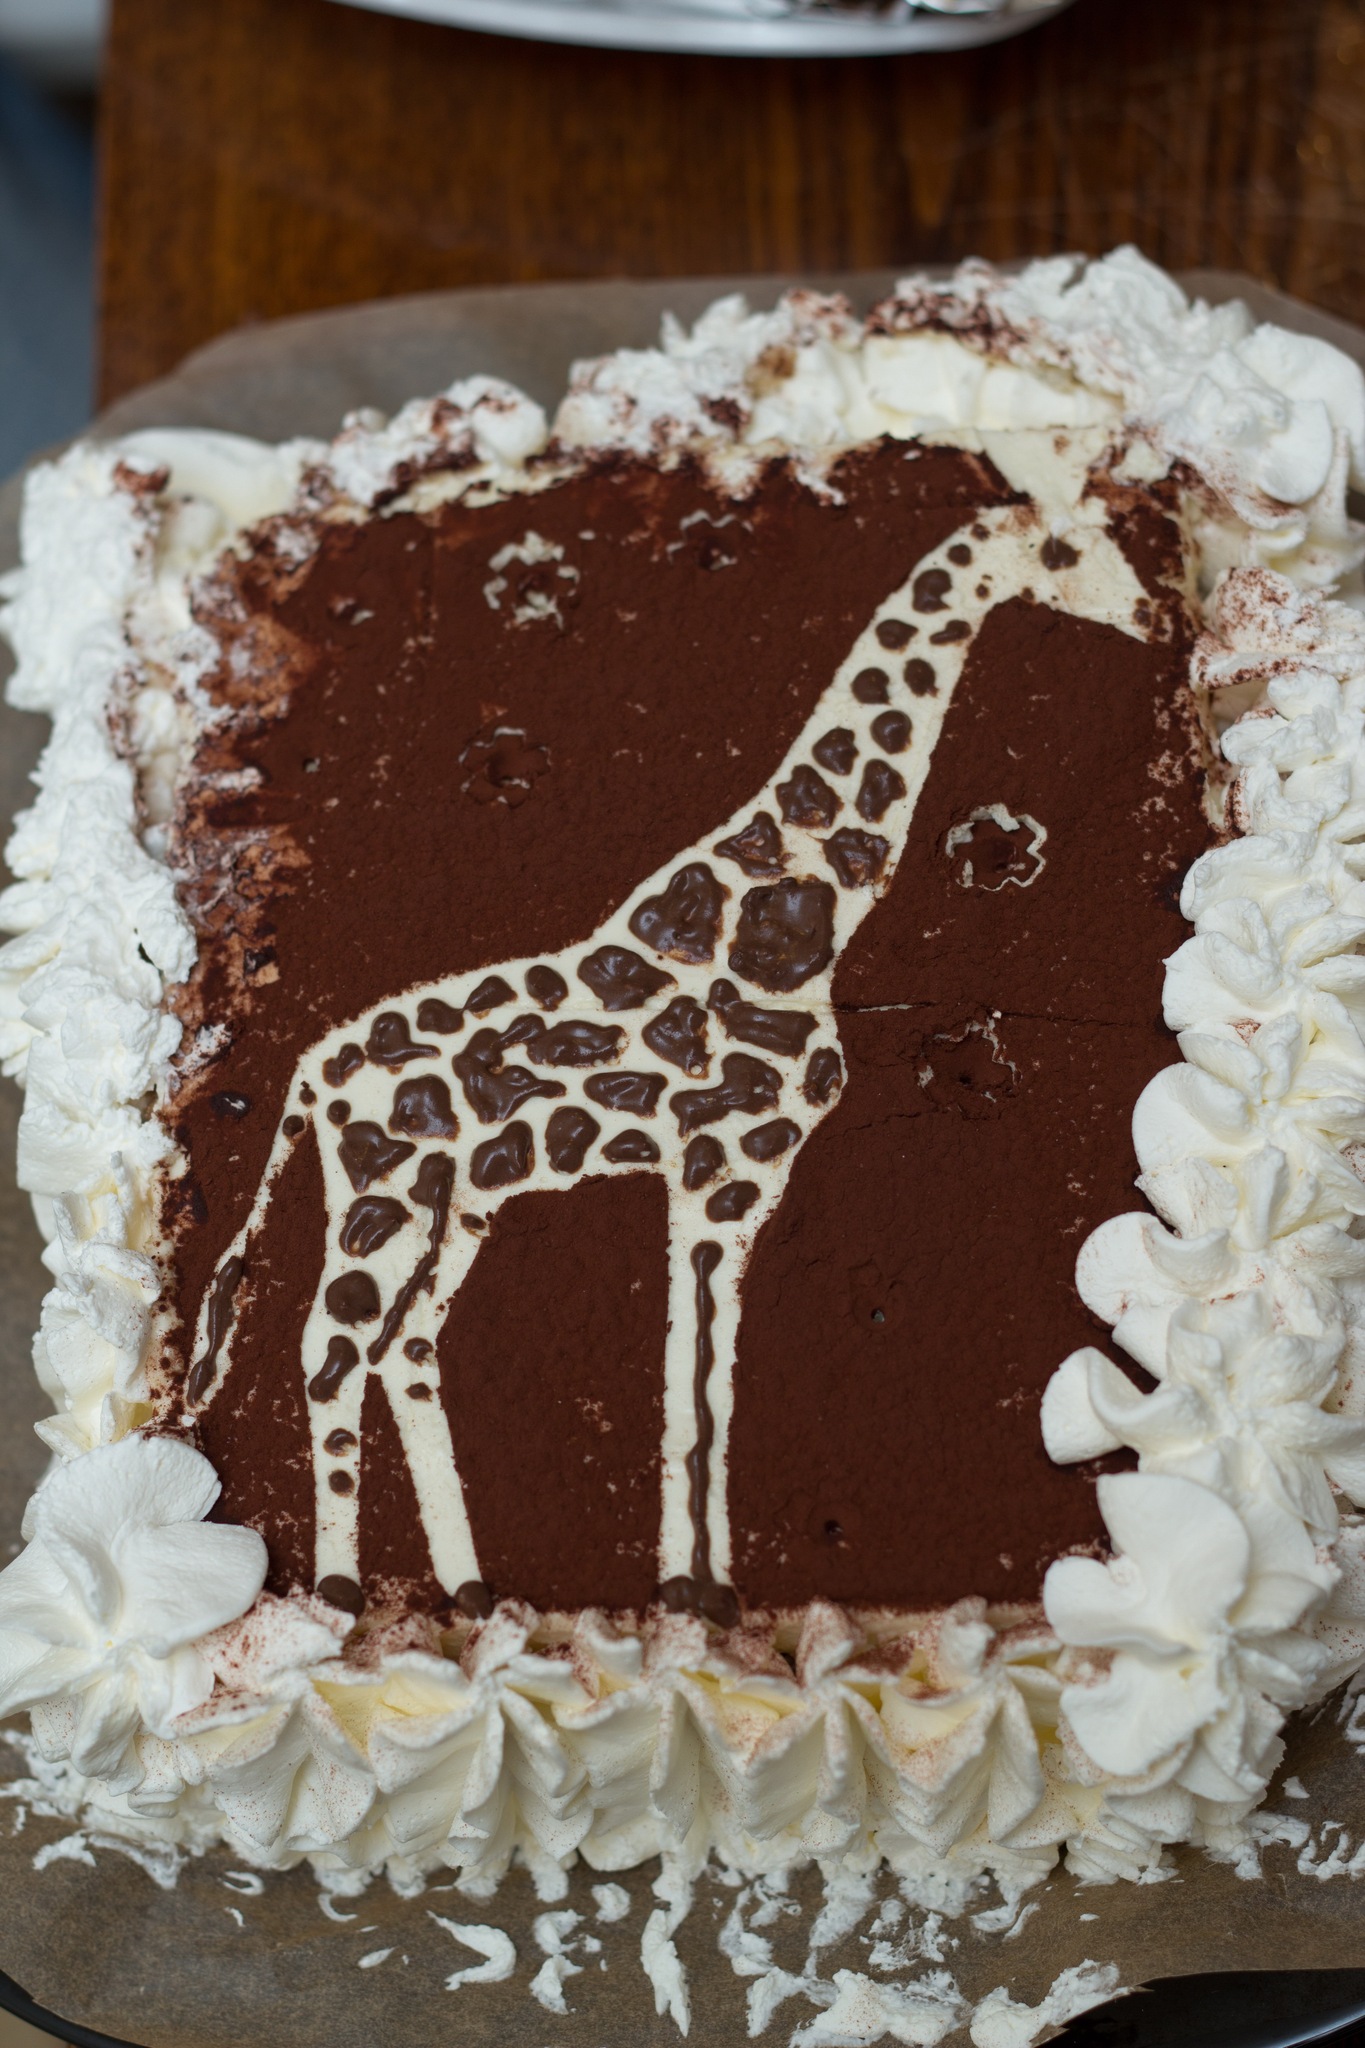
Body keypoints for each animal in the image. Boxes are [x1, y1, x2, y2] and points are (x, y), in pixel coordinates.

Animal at [182, 491, 1147, 1621]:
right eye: (1067, 550)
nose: (1149, 615)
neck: (795, 918)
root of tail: (310, 1074)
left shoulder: (728, 1178)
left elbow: (700, 1369)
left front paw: (692, 1579)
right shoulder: (726, 1168)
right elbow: (698, 1382)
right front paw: (699, 1587)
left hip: (462, 1201)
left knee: (405, 1349)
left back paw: (468, 1583)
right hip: (386, 1189)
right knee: (330, 1353)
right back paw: (338, 1585)